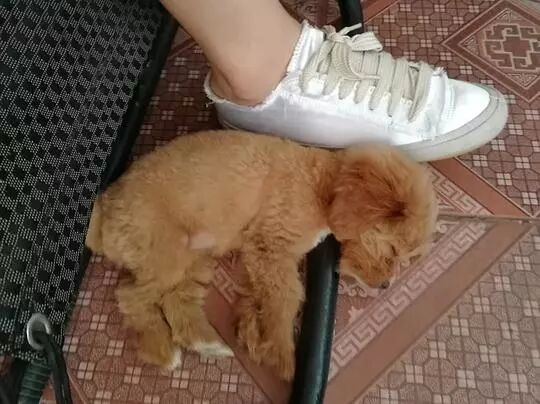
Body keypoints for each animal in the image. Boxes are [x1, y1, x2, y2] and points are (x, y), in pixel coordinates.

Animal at [85, 130, 437, 380]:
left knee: (174, 299)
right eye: (393, 250)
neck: (320, 185)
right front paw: (283, 354)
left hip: (196, 257)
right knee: (131, 296)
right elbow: (286, 299)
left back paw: (206, 342)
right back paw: (161, 348)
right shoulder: (273, 248)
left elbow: (263, 297)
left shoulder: (260, 255)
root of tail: (104, 203)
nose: (385, 286)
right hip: (167, 253)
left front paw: (254, 332)